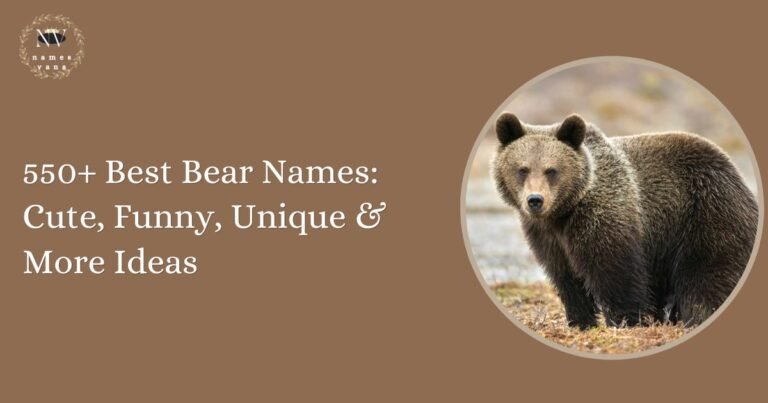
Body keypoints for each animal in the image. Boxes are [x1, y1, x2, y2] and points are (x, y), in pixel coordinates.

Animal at [492, 113, 758, 328]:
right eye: (522, 169)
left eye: (551, 170)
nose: (535, 200)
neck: (562, 213)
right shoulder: (547, 237)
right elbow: (567, 280)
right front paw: (580, 322)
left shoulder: (603, 216)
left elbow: (616, 274)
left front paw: (625, 322)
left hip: (707, 213)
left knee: (707, 277)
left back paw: (697, 315)